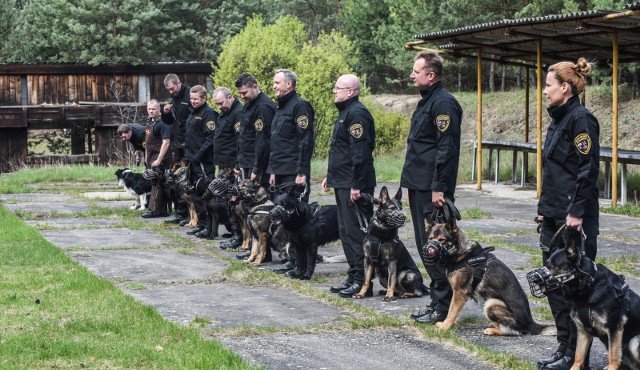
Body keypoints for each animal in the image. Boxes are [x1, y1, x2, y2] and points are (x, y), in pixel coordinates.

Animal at [422, 202, 552, 336]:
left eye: (442, 240)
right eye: (430, 238)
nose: (429, 249)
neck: (461, 252)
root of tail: (530, 324)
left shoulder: (460, 292)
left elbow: (451, 311)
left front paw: (445, 326)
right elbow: (453, 311)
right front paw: (447, 324)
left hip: (491, 303)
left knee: (513, 331)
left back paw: (493, 329)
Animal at [524, 227, 640, 368]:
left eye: (554, 264)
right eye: (547, 263)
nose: (535, 279)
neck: (589, 286)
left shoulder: (614, 329)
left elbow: (613, 357)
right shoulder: (583, 331)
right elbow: (578, 356)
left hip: (635, 340)